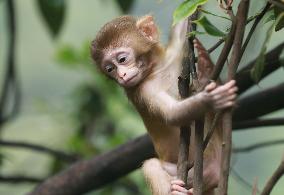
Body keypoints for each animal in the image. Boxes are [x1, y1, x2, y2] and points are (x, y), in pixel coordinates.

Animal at [91, 14, 237, 194]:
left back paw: (206, 70)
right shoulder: (143, 91)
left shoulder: (175, 55)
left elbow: (182, 25)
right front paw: (210, 99)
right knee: (151, 165)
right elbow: (172, 115)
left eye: (122, 59)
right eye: (110, 69)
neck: (156, 70)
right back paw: (176, 190)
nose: (122, 76)